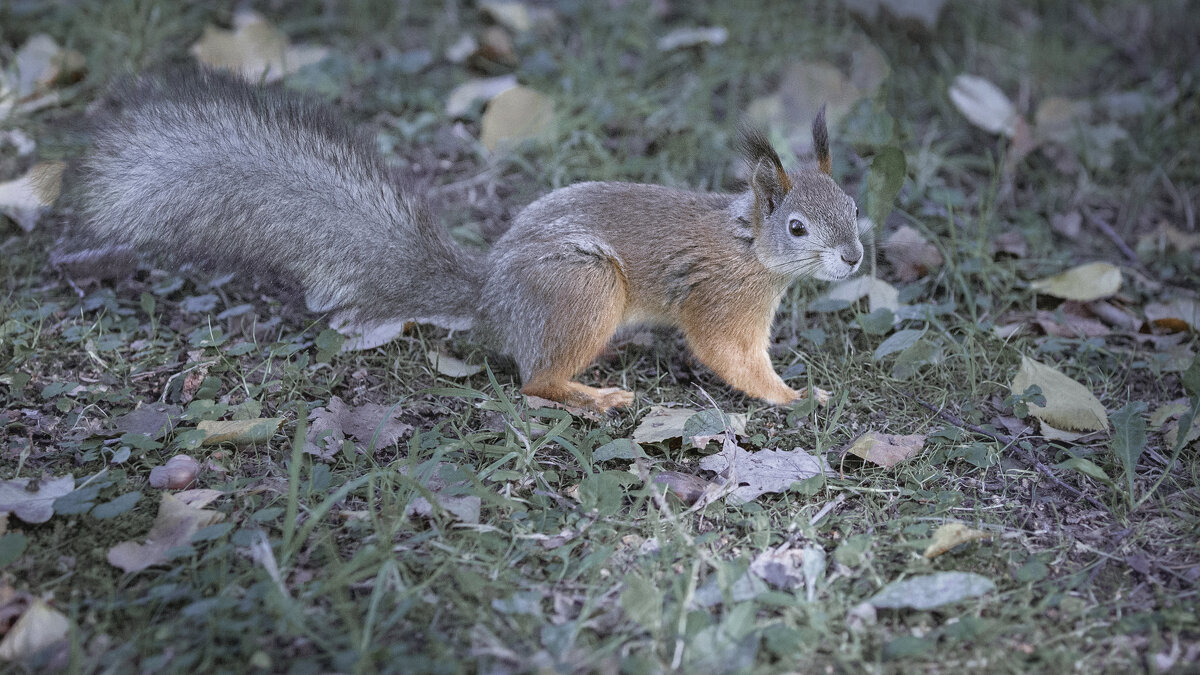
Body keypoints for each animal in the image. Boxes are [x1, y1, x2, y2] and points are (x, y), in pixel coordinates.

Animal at [72, 69, 864, 415]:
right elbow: (732, 358)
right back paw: (596, 394)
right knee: (535, 381)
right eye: (797, 227)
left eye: (854, 205)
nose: (855, 256)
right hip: (584, 290)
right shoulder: (722, 300)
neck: (749, 243)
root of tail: (492, 297)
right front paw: (796, 395)